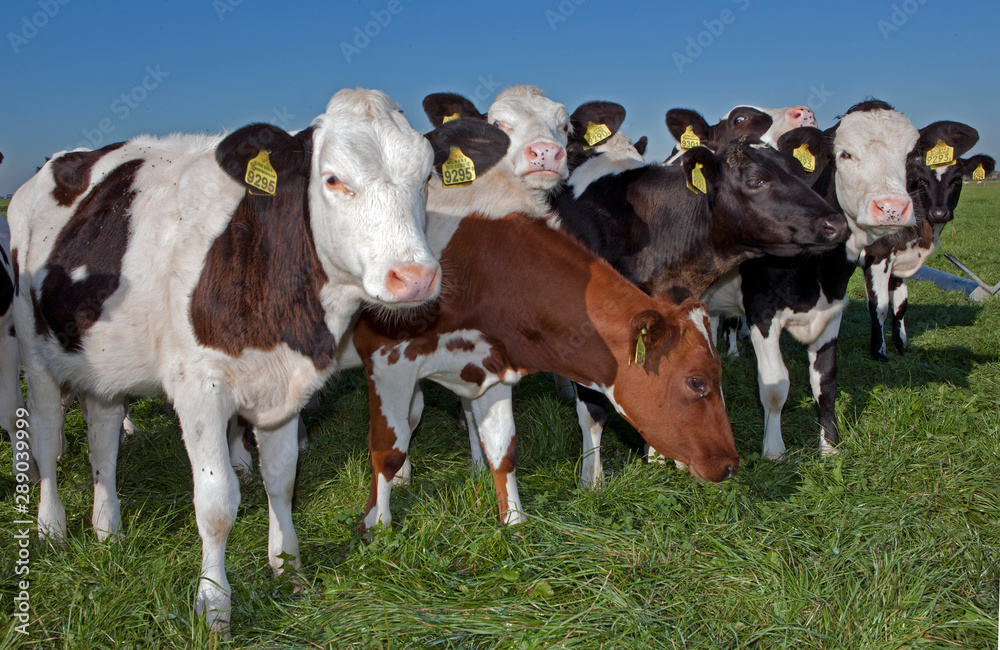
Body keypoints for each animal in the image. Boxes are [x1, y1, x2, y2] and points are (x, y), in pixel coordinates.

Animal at [8, 88, 442, 632]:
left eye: (427, 177)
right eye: (333, 179)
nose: (416, 277)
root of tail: (60, 161)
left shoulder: (284, 383)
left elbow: (282, 479)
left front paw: (288, 567)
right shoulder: (199, 387)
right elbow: (216, 505)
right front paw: (213, 603)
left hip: (102, 364)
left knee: (102, 442)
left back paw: (107, 528)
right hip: (34, 349)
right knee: (47, 440)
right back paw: (51, 527)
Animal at [708, 98, 916, 458]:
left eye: (908, 156)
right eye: (845, 154)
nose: (891, 208)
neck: (816, 266)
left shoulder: (831, 309)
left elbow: (826, 381)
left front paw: (829, 445)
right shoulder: (761, 312)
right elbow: (775, 384)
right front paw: (774, 450)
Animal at [860, 120, 992, 360]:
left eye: (957, 178)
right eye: (922, 180)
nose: (939, 213)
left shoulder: (899, 259)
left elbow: (900, 305)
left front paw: (901, 345)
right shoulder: (877, 257)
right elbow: (879, 307)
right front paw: (879, 352)